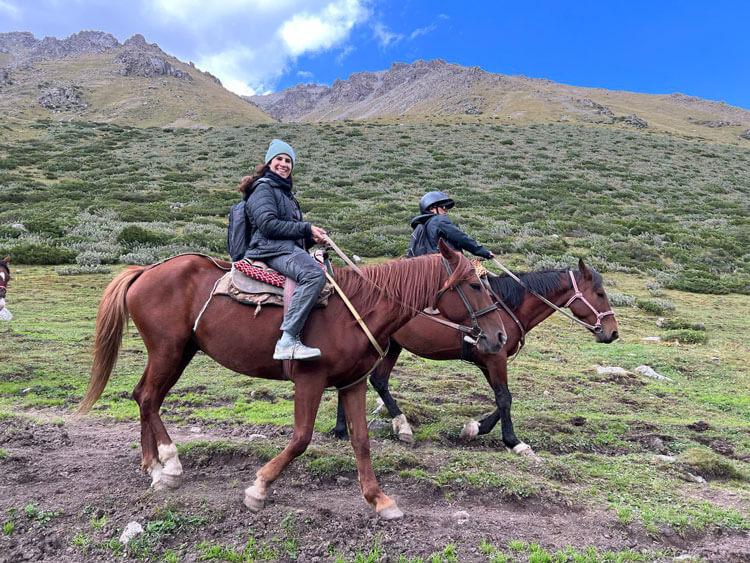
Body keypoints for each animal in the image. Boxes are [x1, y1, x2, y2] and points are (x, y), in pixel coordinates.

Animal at [75, 242, 506, 520]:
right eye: (474, 284)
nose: (500, 337)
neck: (358, 309)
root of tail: (145, 271)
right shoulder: (310, 380)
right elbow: (300, 439)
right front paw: (259, 488)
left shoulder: (352, 384)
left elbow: (362, 441)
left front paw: (379, 499)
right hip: (168, 351)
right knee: (148, 397)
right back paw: (170, 465)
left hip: (179, 353)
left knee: (144, 396)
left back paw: (152, 465)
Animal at [338, 260, 620, 458]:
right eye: (599, 293)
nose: (613, 332)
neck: (507, 305)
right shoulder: (495, 358)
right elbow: (505, 398)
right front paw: (514, 442)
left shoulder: (490, 359)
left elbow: (502, 398)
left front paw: (475, 428)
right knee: (374, 381)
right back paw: (400, 425)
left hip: (389, 346)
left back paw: (343, 429)